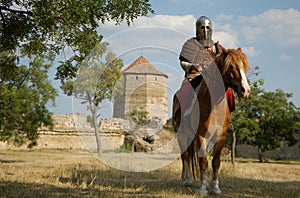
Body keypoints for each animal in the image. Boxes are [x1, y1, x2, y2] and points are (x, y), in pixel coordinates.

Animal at [172, 44, 250, 194]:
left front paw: (215, 187)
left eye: (244, 65)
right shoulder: (200, 135)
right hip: (182, 133)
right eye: (230, 66)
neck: (214, 106)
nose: (246, 90)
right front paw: (203, 188)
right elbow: (203, 161)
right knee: (185, 155)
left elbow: (215, 162)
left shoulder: (221, 137)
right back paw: (188, 180)